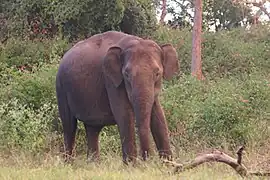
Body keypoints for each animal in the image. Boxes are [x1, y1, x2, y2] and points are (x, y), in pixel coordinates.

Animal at [55, 30, 179, 163]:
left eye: (157, 73)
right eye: (127, 74)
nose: (147, 158)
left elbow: (159, 116)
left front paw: (168, 164)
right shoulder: (111, 80)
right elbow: (124, 115)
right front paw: (132, 165)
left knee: (92, 129)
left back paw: (93, 164)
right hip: (61, 88)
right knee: (69, 126)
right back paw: (68, 163)